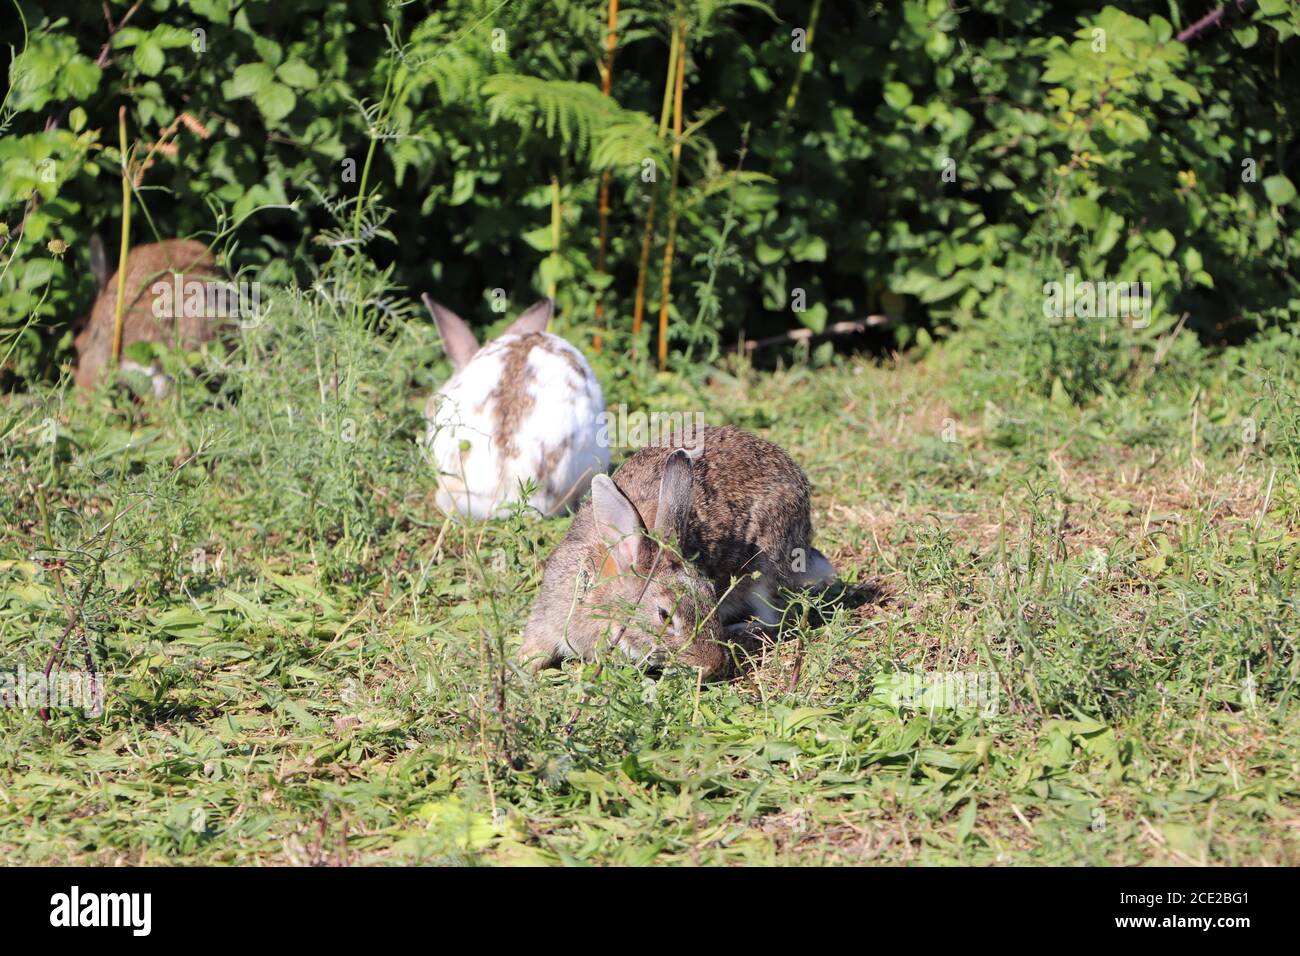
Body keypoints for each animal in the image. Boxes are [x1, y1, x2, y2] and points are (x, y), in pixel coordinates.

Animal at [519, 424, 837, 679]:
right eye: (664, 615)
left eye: (711, 597)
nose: (712, 666)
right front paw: (522, 668)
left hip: (767, 563)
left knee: (770, 616)